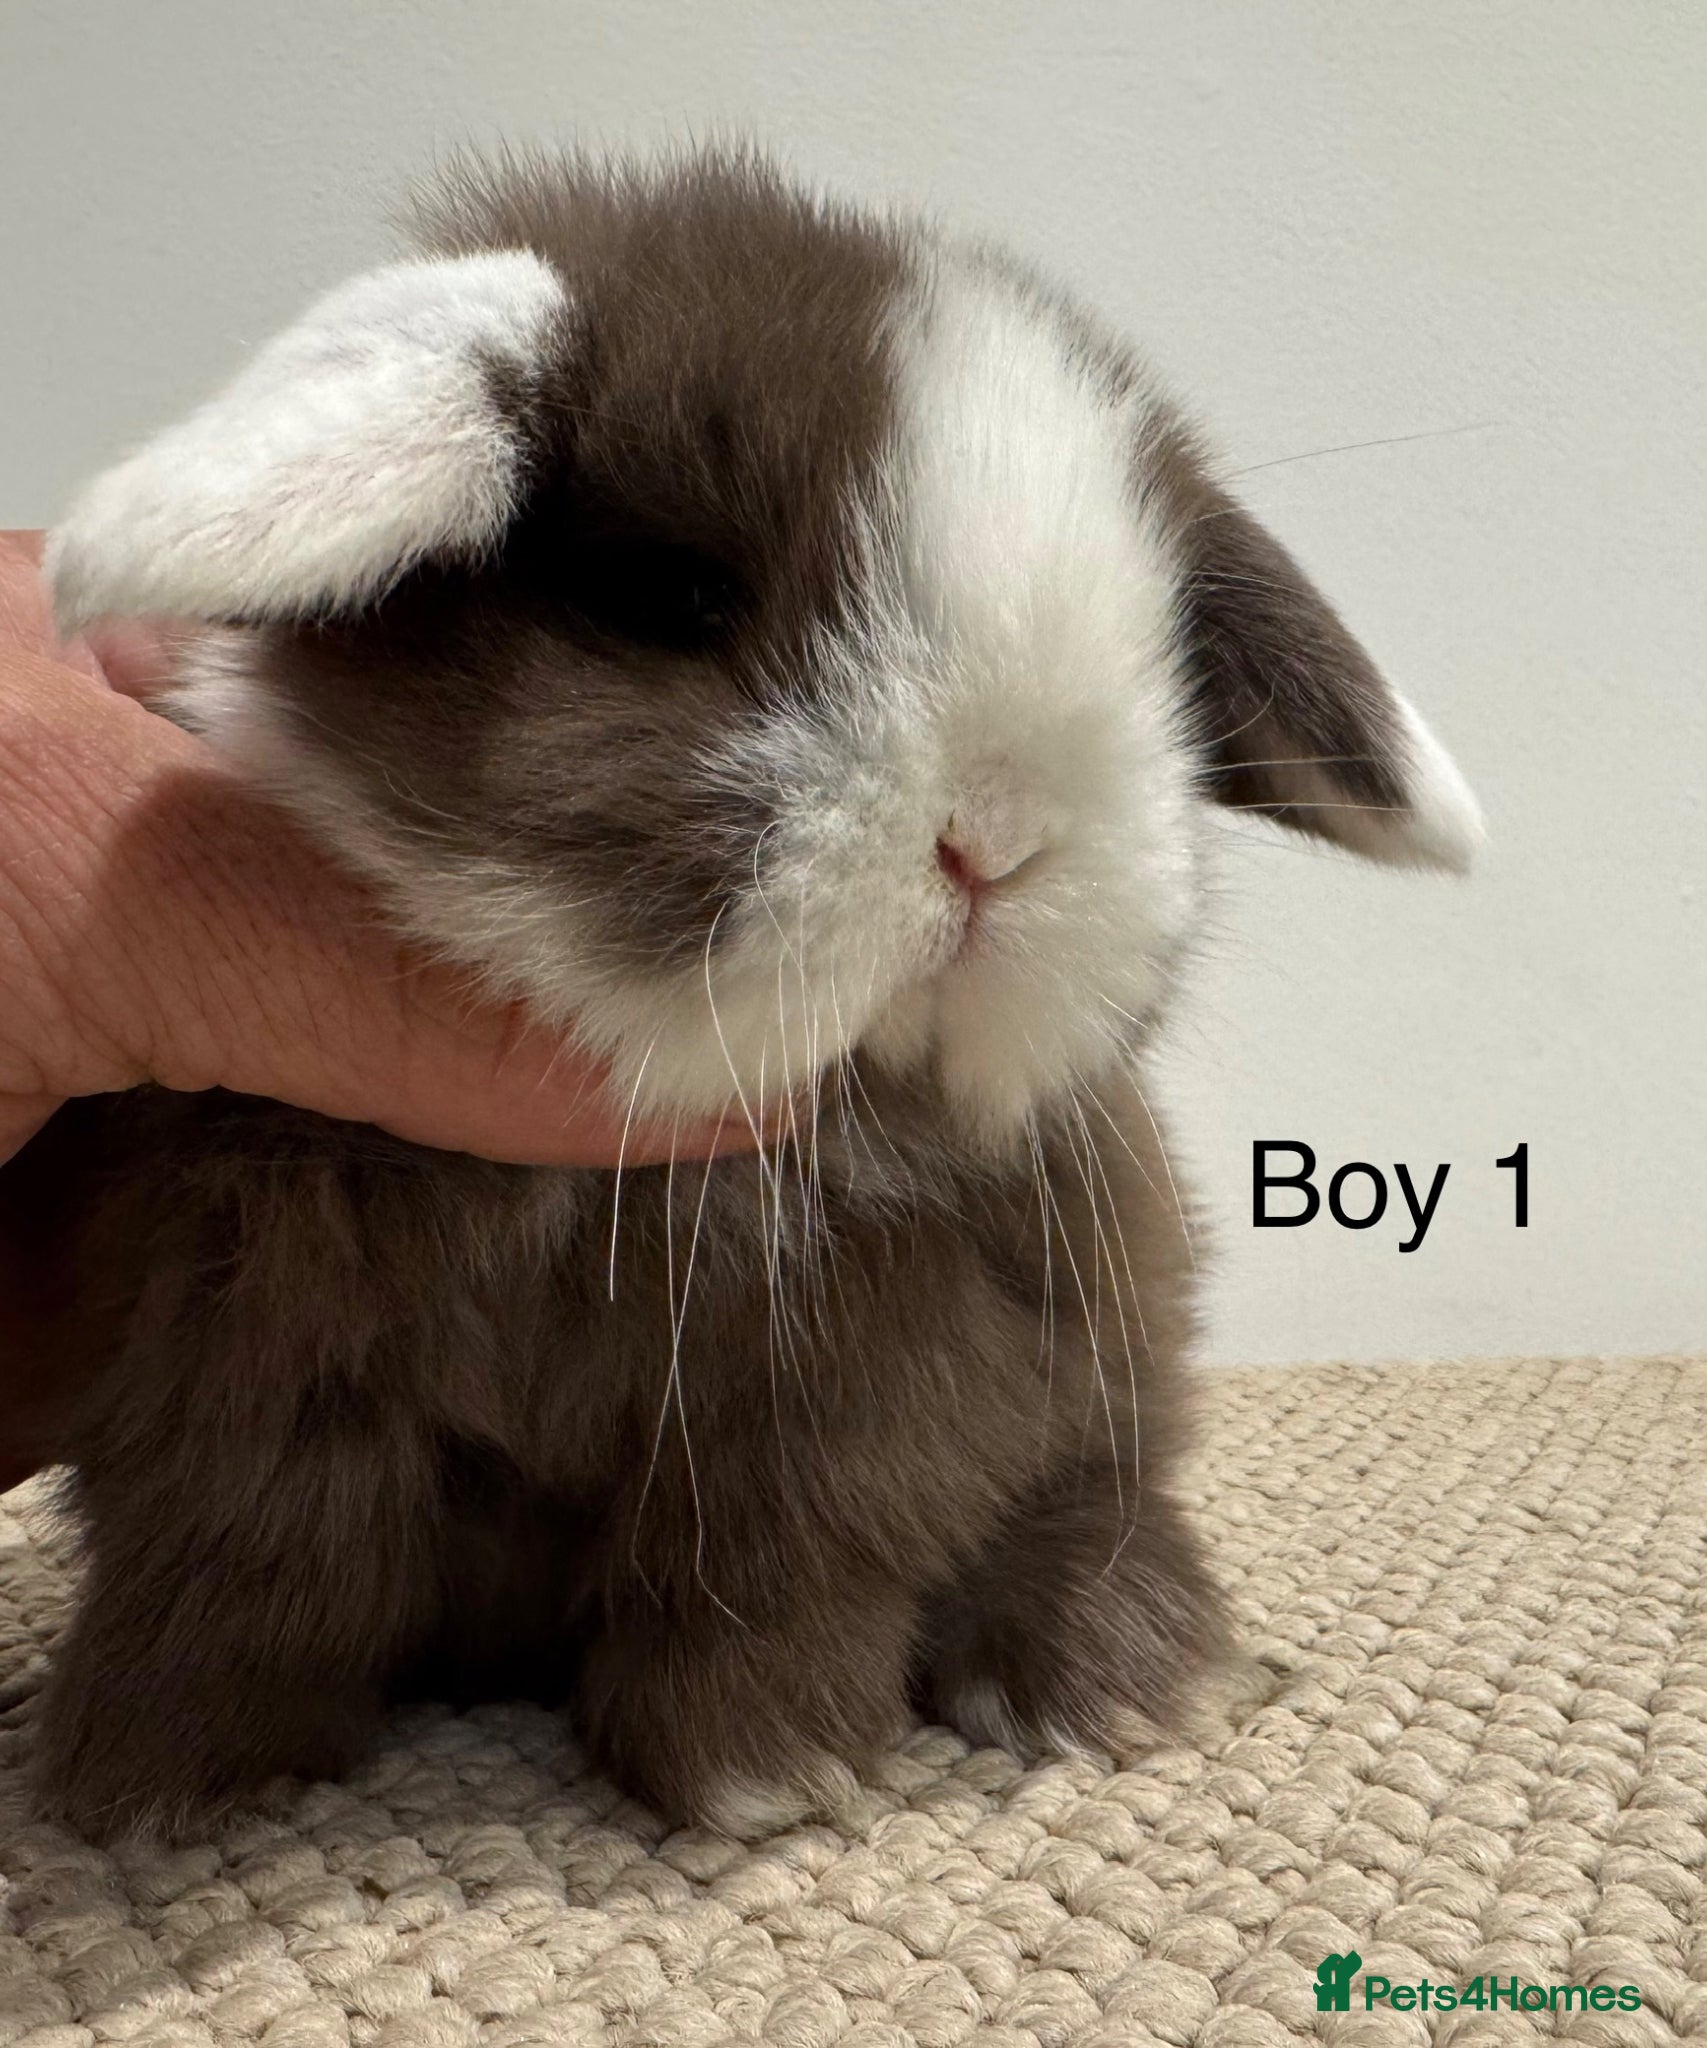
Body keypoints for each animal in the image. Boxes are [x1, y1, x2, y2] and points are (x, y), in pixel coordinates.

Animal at [17, 144, 1482, 1843]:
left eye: (1162, 663)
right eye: (670, 595)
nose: (998, 836)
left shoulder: (851, 1400)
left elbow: (768, 1576)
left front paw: (761, 1776)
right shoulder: (233, 1347)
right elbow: (248, 1559)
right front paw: (171, 1793)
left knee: (1101, 1511)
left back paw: (1124, 1687)